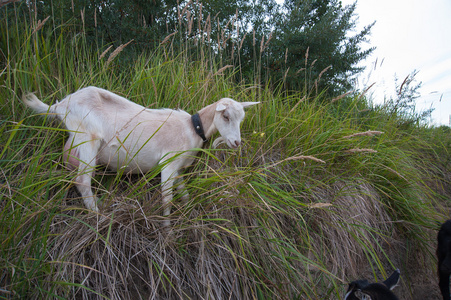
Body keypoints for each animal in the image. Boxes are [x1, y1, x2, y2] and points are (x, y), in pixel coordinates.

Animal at [23, 85, 260, 221]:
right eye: (226, 116)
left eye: (242, 119)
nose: (236, 142)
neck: (192, 128)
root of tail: (61, 105)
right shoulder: (168, 164)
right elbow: (167, 199)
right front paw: (167, 230)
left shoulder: (178, 169)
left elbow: (184, 194)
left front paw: (189, 214)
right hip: (87, 139)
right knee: (82, 180)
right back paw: (98, 218)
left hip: (74, 144)